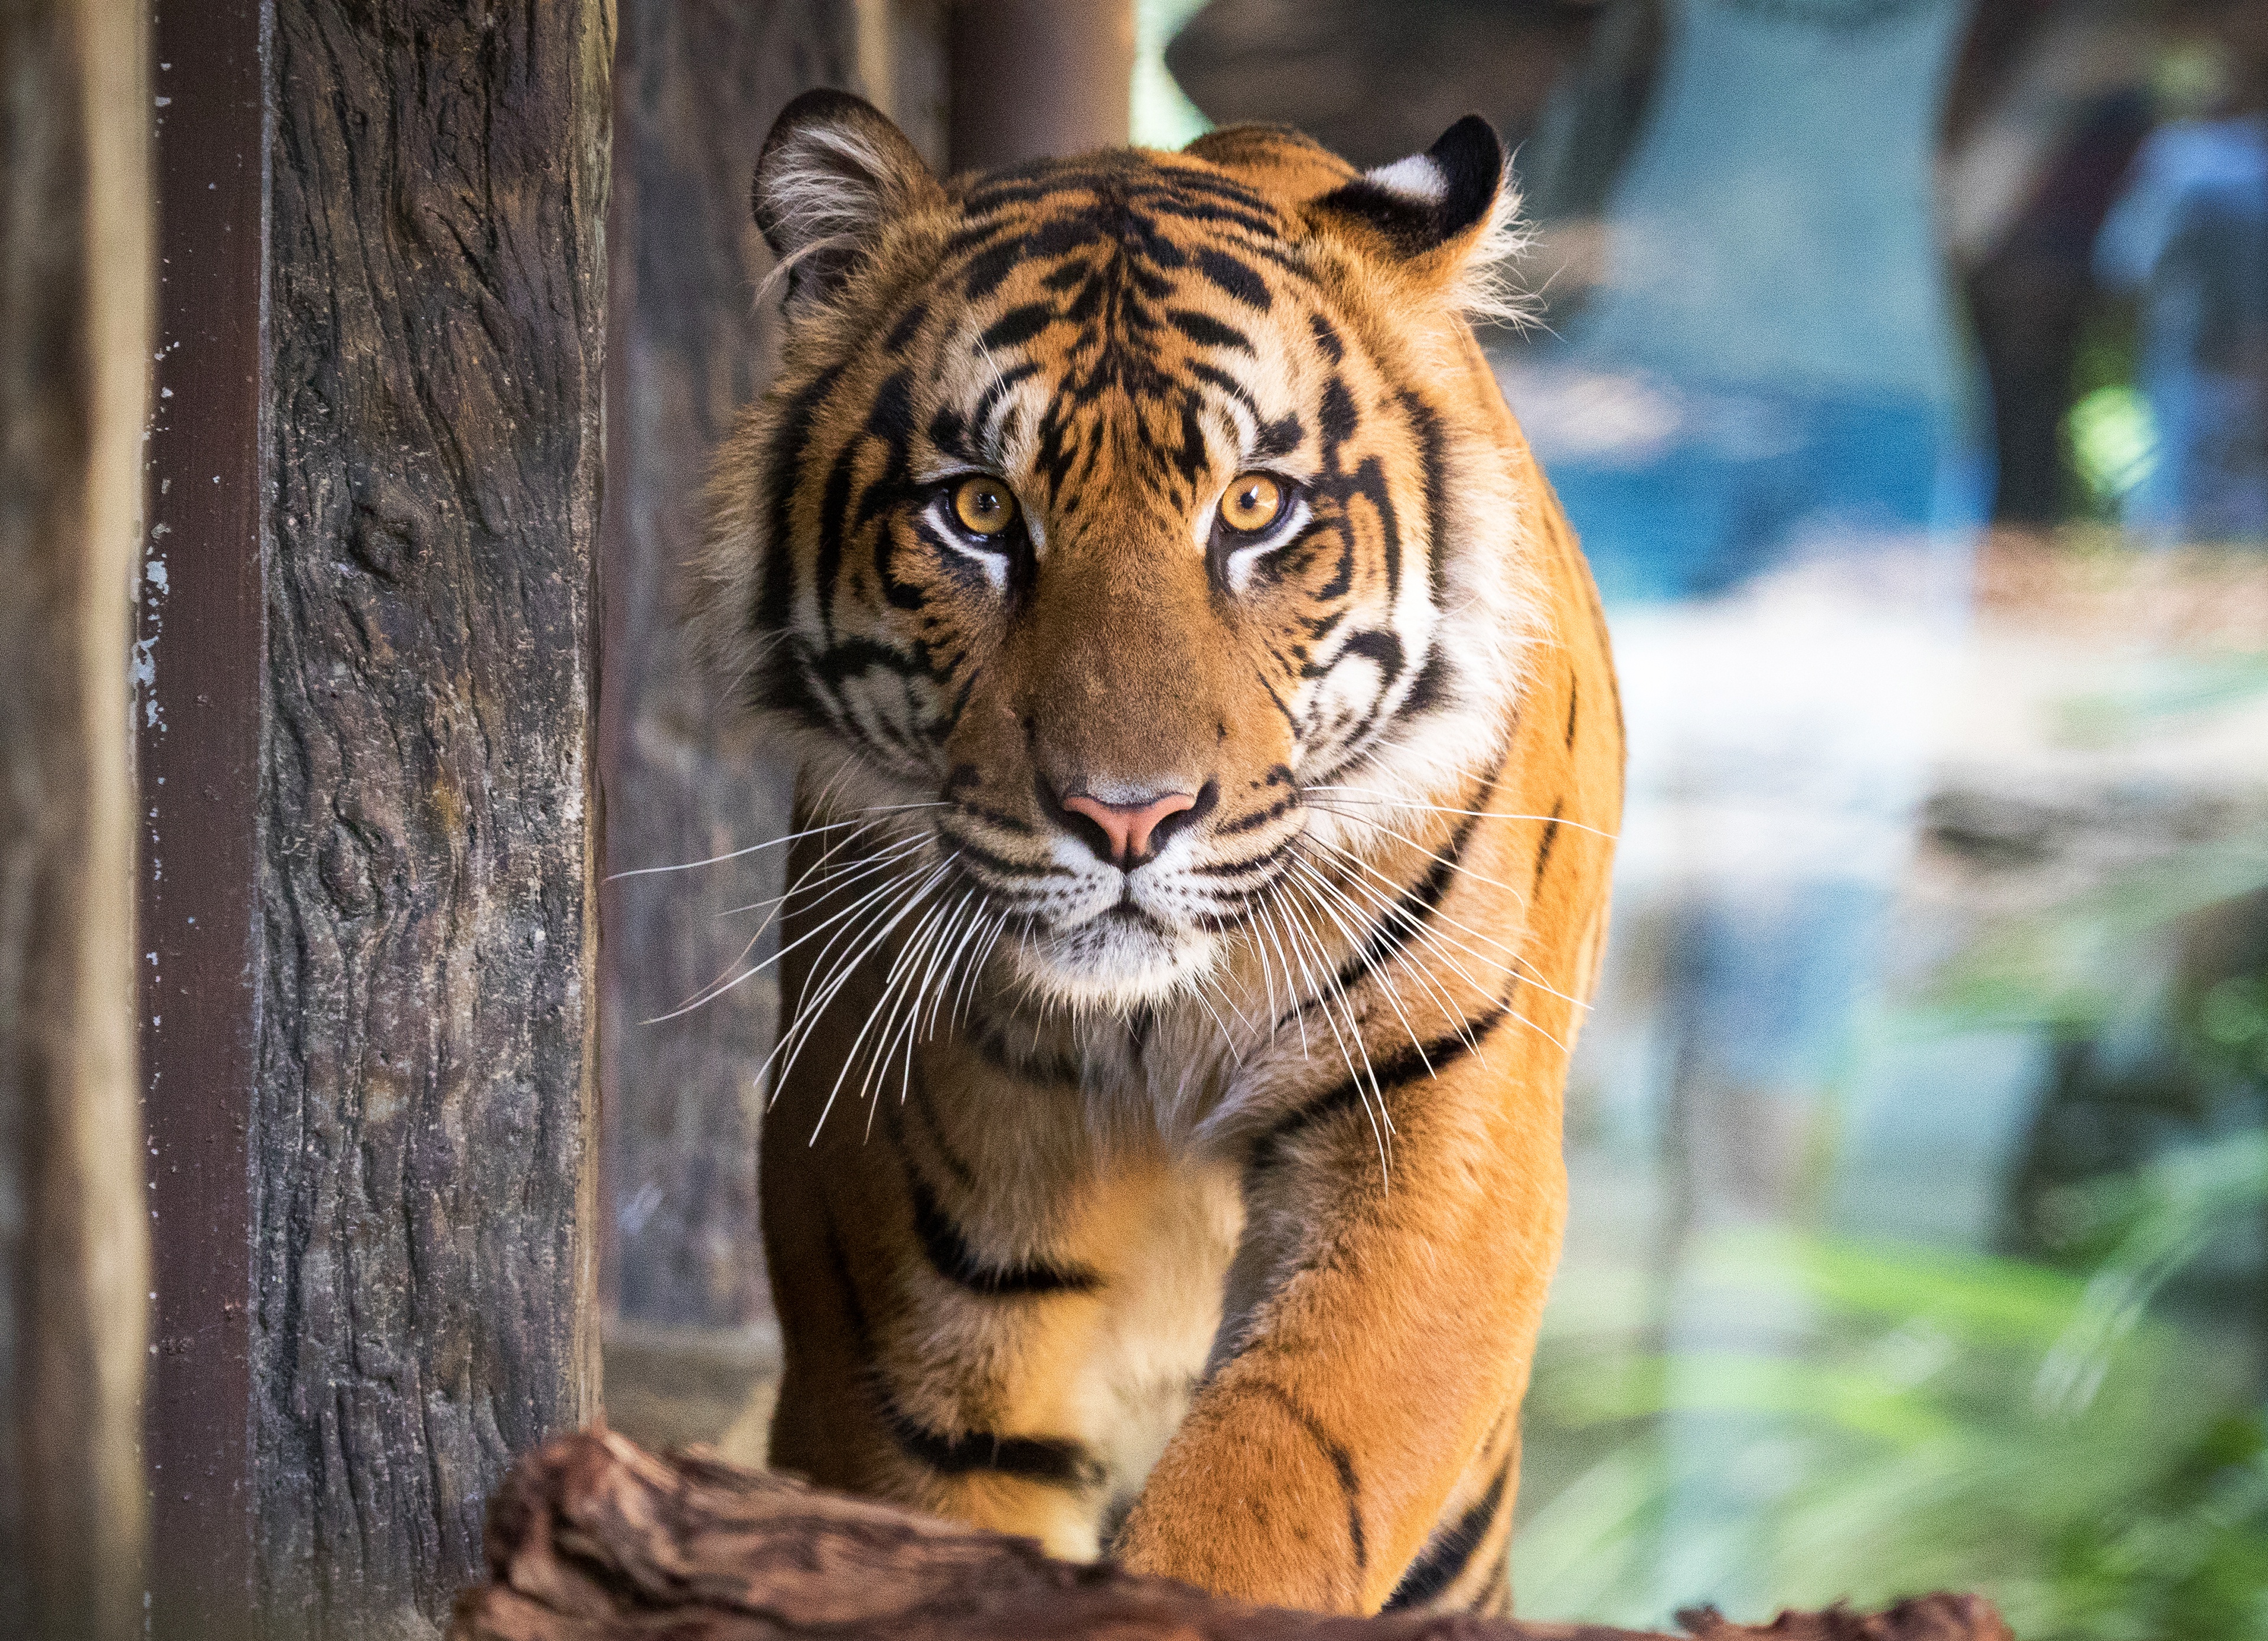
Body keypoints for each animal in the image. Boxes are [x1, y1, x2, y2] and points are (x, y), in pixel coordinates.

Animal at [685, 89, 1615, 1613]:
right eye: (977, 511)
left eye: (1254, 509)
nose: (1126, 817)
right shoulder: (912, 1248)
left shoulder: (1440, 1135)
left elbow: (1286, 1469)